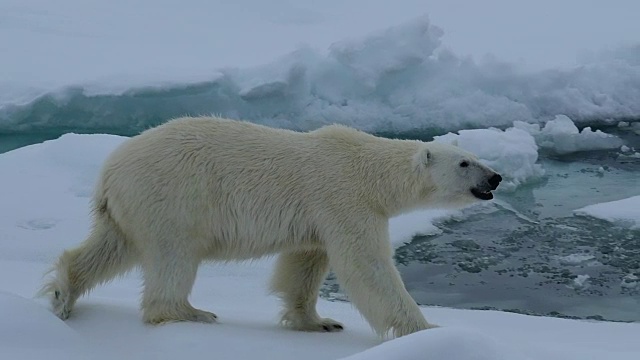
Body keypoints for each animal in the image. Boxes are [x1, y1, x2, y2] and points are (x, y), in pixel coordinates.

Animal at [40, 116, 502, 338]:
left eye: (477, 157)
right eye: (465, 163)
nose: (496, 177)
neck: (368, 170)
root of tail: (109, 171)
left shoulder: (319, 215)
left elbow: (304, 265)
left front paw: (318, 322)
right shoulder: (344, 198)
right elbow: (367, 267)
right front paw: (426, 329)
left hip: (129, 208)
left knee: (109, 247)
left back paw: (63, 293)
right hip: (172, 197)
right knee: (174, 256)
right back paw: (189, 312)